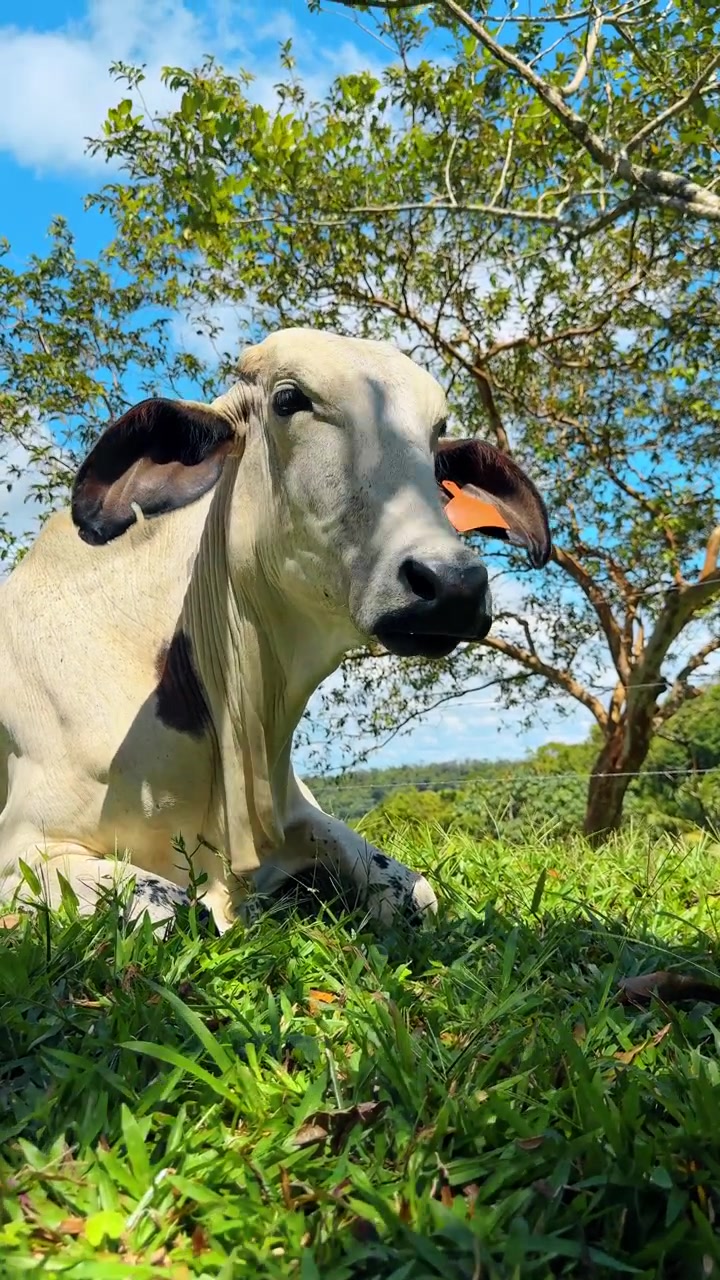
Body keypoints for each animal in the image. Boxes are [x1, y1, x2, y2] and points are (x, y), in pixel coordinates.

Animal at [0, 328, 551, 932]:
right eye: (289, 400)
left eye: (436, 433)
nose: (453, 585)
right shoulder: (24, 848)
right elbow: (172, 908)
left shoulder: (303, 814)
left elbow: (412, 892)